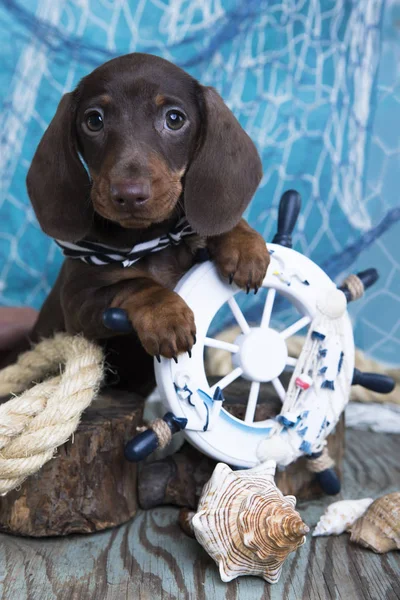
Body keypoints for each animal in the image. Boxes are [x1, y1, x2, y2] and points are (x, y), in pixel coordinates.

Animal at [25, 54, 270, 396]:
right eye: (94, 121)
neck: (150, 238)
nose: (129, 194)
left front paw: (243, 244)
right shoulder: (78, 304)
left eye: (174, 119)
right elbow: (135, 284)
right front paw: (165, 314)